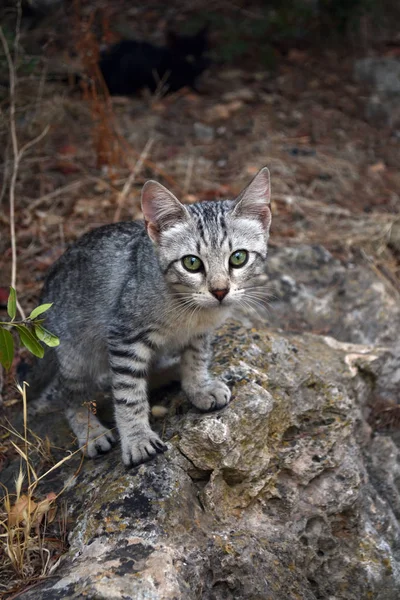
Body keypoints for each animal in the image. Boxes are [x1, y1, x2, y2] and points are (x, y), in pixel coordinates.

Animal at [31, 166, 272, 466]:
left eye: (238, 258)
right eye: (191, 263)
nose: (219, 291)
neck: (188, 309)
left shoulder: (199, 334)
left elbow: (196, 359)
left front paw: (198, 386)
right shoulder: (125, 337)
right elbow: (128, 394)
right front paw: (137, 438)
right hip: (75, 355)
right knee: (70, 394)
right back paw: (90, 432)